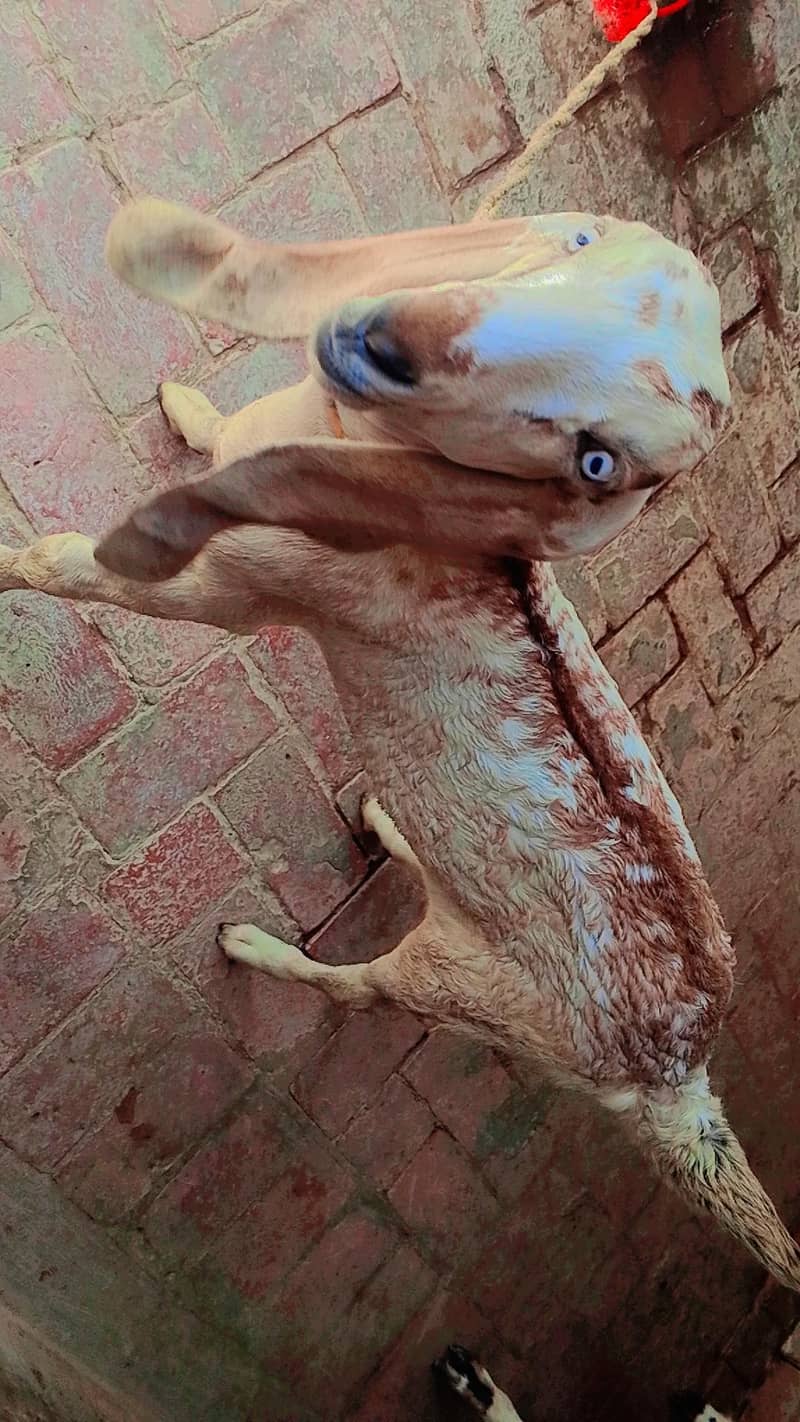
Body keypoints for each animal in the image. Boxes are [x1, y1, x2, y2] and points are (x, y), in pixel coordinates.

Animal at [2, 196, 798, 1292]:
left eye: (596, 459)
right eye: (575, 243)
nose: (386, 343)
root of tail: (679, 1079)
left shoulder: (224, 590)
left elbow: (68, 566)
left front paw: (10, 560)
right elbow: (213, 432)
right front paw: (185, 405)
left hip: (455, 988)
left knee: (353, 983)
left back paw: (253, 943)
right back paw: (382, 817)